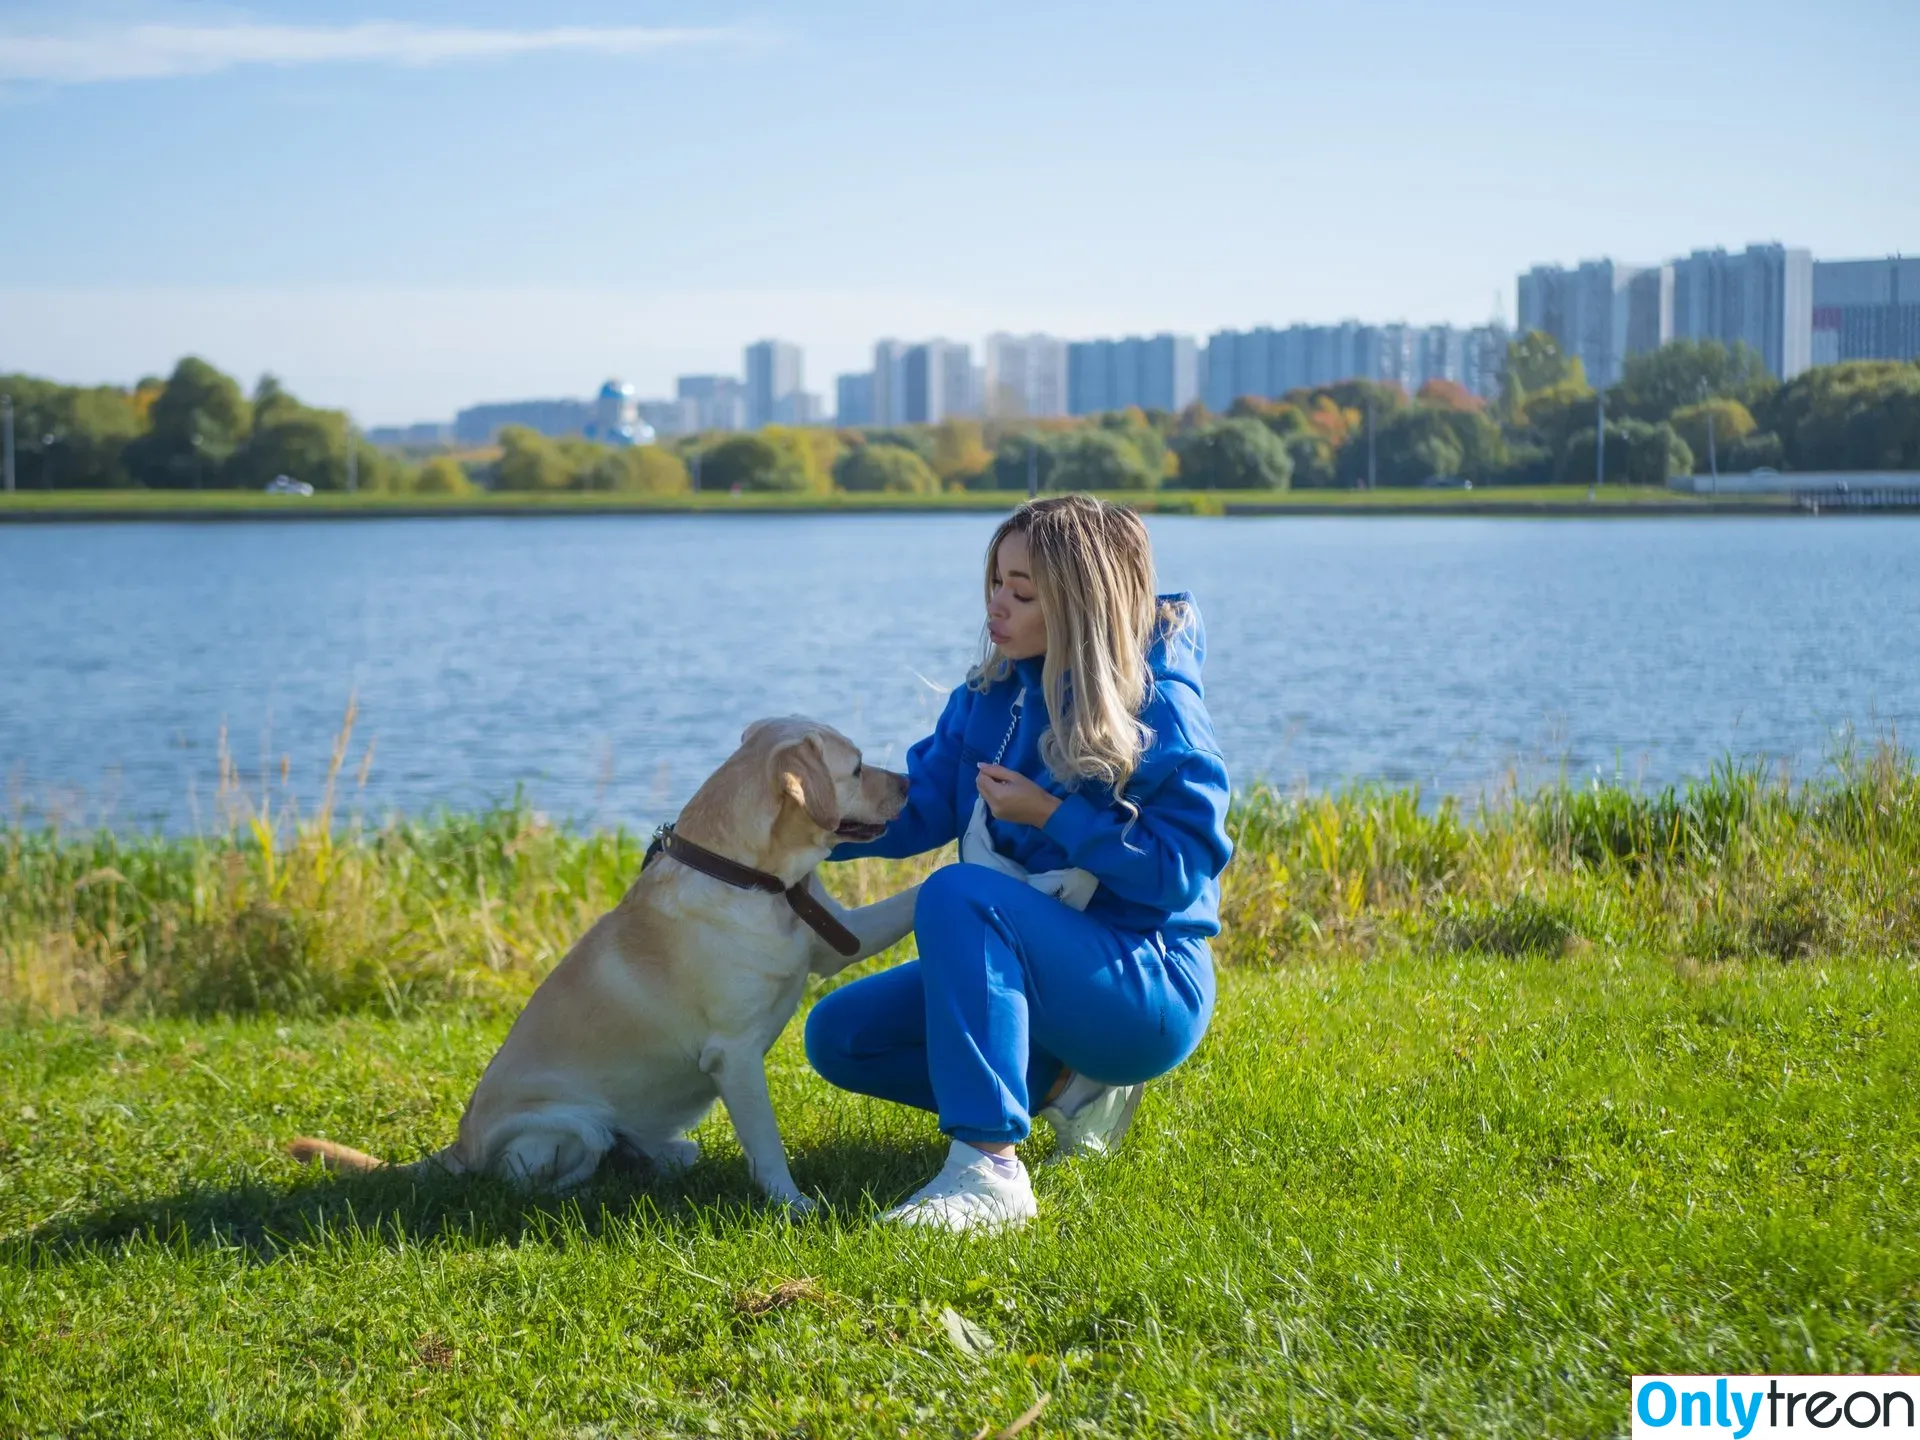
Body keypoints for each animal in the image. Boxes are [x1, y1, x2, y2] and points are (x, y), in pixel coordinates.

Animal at [289, 718, 913, 1213]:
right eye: (858, 768)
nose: (909, 782)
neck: (756, 880)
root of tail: (458, 1146)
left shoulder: (841, 937)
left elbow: (905, 903)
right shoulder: (733, 1056)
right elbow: (767, 1144)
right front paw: (793, 1204)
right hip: (570, 1126)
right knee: (522, 1183)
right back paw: (592, 1189)